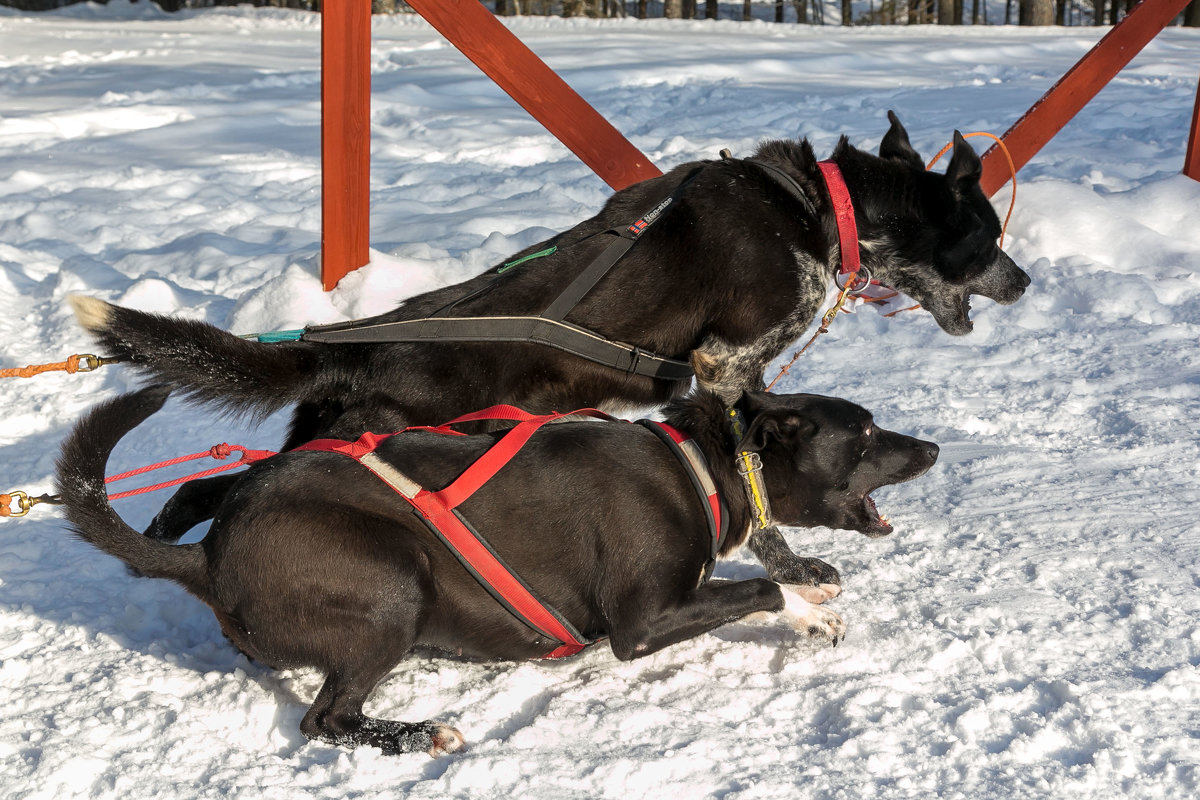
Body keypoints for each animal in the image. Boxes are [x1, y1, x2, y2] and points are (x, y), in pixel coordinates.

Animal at [54, 383, 936, 753]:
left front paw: (811, 585)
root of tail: (208, 552)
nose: (930, 447)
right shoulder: (642, 619)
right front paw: (806, 609)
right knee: (324, 720)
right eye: (864, 434)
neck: (703, 468)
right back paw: (415, 733)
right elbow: (755, 585)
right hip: (394, 578)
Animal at [68, 112, 1022, 587]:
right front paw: (788, 559)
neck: (814, 207)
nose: (1024, 282)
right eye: (985, 236)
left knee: (200, 488)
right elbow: (751, 478)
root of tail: (363, 353)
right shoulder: (726, 363)